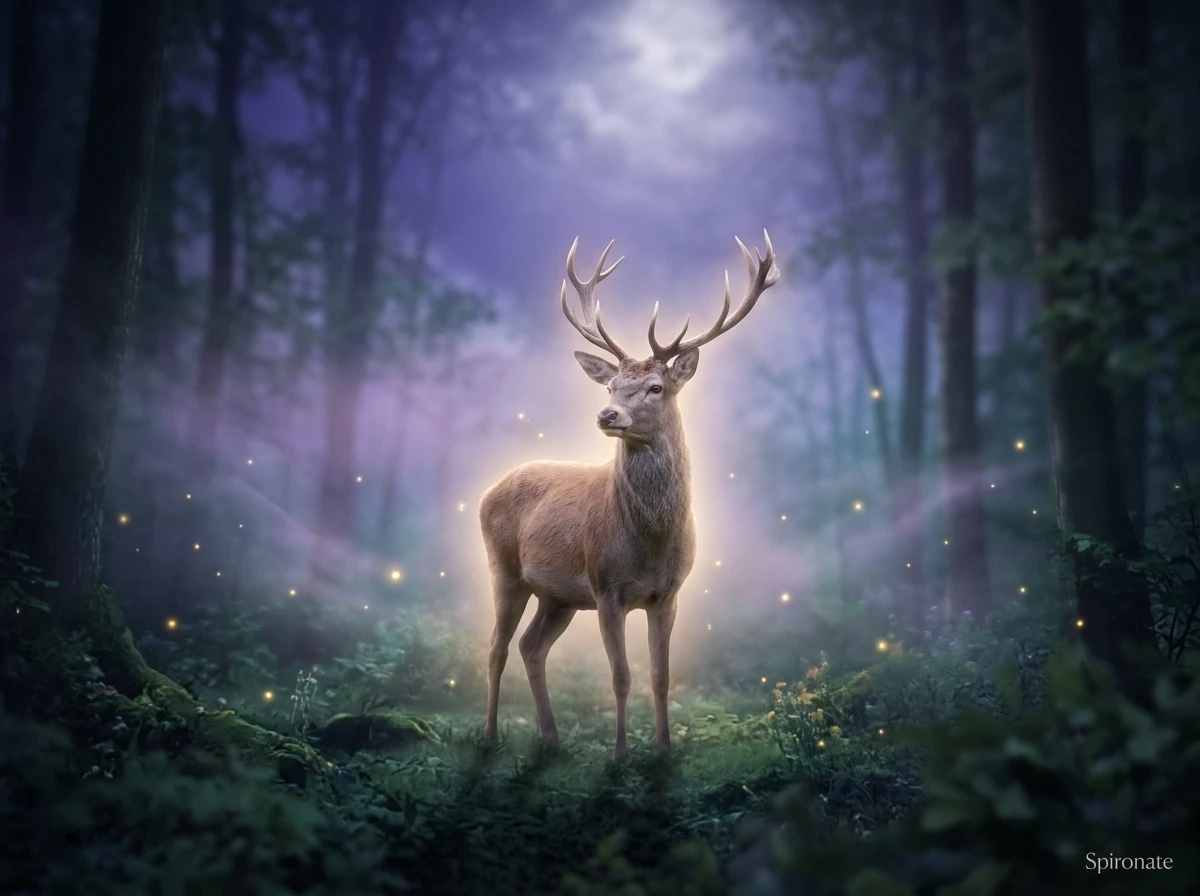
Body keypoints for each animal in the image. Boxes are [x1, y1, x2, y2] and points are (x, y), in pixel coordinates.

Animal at [479, 232, 780, 761]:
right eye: (612, 386)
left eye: (656, 386)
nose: (607, 415)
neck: (651, 542)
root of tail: (485, 491)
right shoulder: (607, 588)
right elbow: (620, 677)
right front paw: (619, 756)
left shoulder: (670, 594)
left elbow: (661, 677)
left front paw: (664, 751)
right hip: (505, 570)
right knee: (495, 648)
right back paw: (491, 735)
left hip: (558, 596)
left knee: (531, 647)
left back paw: (552, 739)